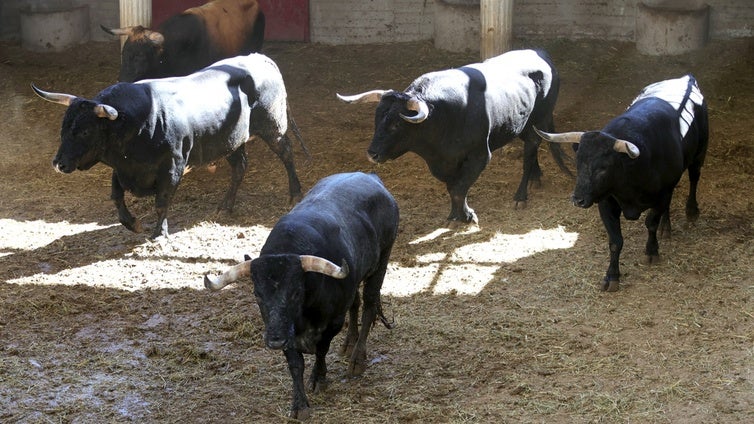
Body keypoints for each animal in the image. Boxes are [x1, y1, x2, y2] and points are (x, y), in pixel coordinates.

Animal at [31, 52, 302, 238]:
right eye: (64, 127)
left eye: (85, 130)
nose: (58, 163)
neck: (143, 122)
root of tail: (260, 58)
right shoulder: (123, 169)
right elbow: (116, 195)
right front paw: (133, 223)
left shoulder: (173, 167)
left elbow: (162, 201)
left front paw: (159, 233)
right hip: (231, 141)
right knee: (240, 167)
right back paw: (225, 207)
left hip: (273, 126)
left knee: (286, 153)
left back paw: (295, 194)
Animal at [203, 171, 396, 420]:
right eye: (257, 294)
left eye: (296, 292)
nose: (274, 340)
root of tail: (371, 176)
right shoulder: (286, 331)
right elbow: (295, 364)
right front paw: (299, 404)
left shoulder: (332, 323)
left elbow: (322, 350)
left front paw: (319, 378)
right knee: (356, 303)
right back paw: (348, 344)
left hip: (382, 261)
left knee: (370, 303)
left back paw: (357, 359)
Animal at [336, 48, 568, 224]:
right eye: (376, 120)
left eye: (396, 124)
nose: (372, 154)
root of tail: (540, 53)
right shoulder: (444, 163)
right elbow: (453, 188)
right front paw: (456, 215)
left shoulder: (480, 156)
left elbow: (459, 189)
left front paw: (467, 216)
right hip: (522, 124)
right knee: (533, 147)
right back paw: (536, 177)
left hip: (540, 118)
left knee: (530, 151)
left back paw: (521, 196)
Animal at [536, 73, 704, 292]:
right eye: (578, 162)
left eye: (603, 168)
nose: (578, 200)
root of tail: (686, 78)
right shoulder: (606, 202)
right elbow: (615, 241)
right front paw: (612, 276)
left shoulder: (660, 195)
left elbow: (650, 222)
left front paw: (652, 251)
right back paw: (666, 227)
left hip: (699, 154)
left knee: (694, 177)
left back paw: (692, 210)